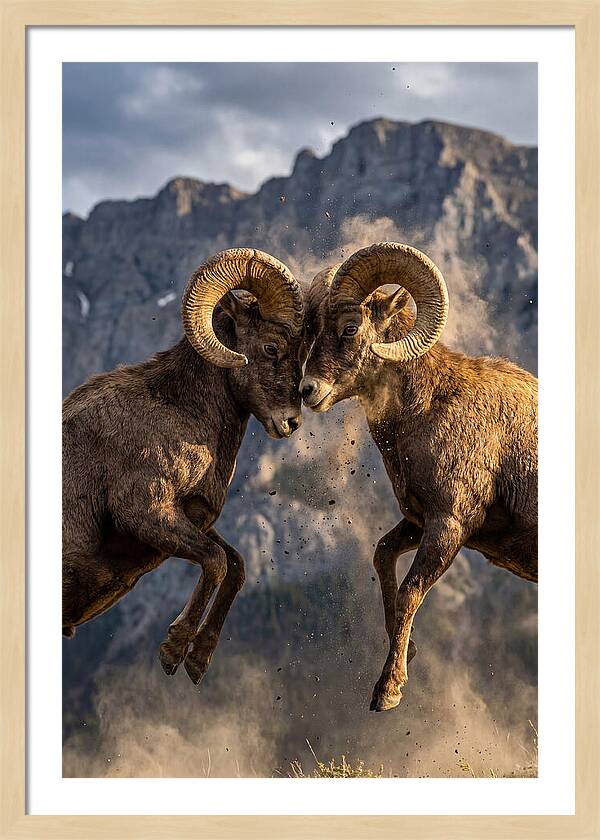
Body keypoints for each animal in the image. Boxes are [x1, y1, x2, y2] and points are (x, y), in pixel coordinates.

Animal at [63, 248, 306, 685]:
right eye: (271, 347)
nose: (291, 422)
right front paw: (174, 651)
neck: (181, 411)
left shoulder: (191, 518)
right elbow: (215, 561)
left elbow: (235, 566)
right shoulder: (146, 513)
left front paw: (197, 661)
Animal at [300, 242, 537, 712]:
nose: (307, 391)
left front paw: (388, 691)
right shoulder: (417, 521)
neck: (429, 409)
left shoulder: (449, 526)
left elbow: (410, 592)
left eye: (350, 327)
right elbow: (382, 556)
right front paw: (406, 651)